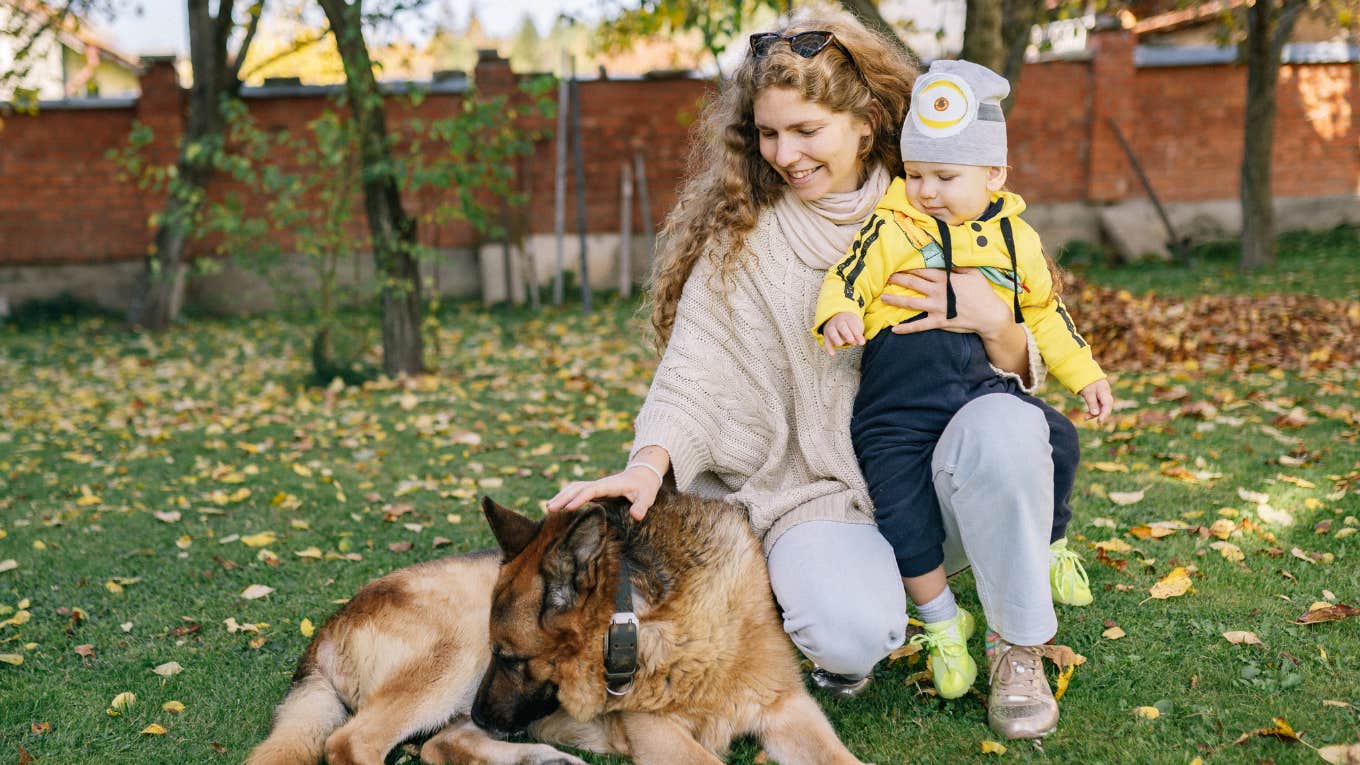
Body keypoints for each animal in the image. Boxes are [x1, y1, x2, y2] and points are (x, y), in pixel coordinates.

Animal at [244, 487, 859, 762]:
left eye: (513, 659)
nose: (484, 714)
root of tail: (325, 630)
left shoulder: (789, 709)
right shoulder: (657, 734)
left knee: (440, 744)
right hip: (455, 652)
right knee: (354, 741)